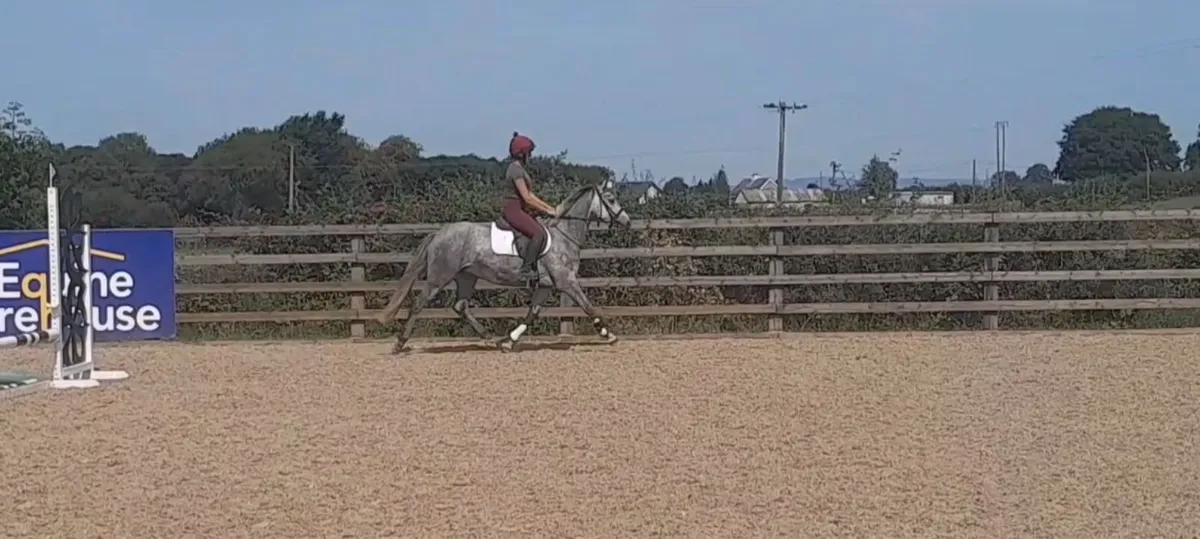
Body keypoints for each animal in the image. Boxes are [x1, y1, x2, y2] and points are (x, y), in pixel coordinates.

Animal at [377, 179, 632, 353]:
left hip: (467, 276)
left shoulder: (546, 286)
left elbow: (532, 313)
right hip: (439, 277)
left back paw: (491, 338)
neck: (563, 233)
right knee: (419, 305)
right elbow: (589, 308)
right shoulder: (566, 282)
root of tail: (439, 233)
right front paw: (609, 335)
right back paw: (400, 343)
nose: (627, 221)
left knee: (460, 306)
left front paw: (510, 341)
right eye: (610, 198)